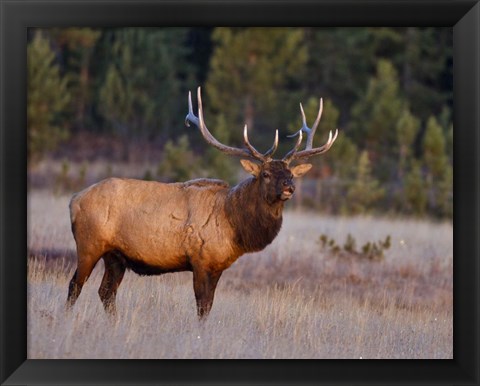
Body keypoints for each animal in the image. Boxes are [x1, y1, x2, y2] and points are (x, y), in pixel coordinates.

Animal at [67, 88, 338, 320]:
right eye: (266, 174)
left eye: (290, 174)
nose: (289, 188)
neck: (234, 226)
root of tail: (74, 200)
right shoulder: (199, 260)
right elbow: (202, 306)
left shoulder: (218, 266)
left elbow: (208, 307)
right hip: (89, 244)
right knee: (75, 286)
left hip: (115, 256)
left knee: (106, 292)